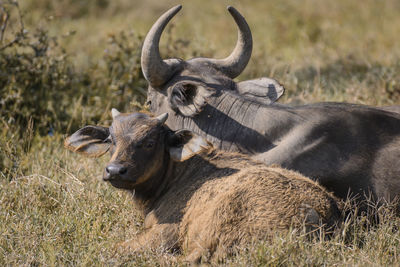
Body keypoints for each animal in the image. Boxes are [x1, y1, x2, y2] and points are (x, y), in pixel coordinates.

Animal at [64, 110, 340, 264]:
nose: (114, 170)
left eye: (150, 142)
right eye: (111, 140)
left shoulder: (167, 232)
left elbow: (114, 248)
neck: (175, 175)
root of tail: (318, 212)